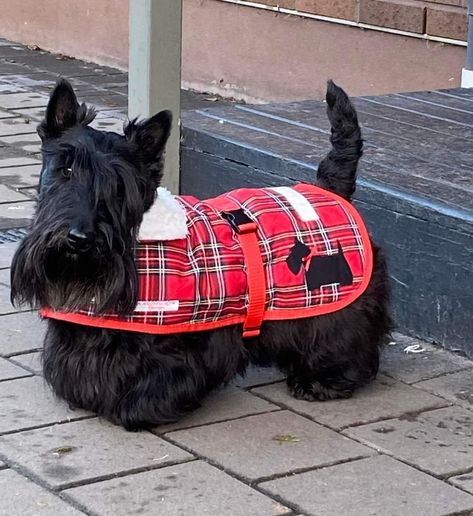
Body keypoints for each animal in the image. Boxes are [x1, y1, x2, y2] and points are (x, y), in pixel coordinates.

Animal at [11, 78, 390, 430]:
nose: (79, 239)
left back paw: (321, 380)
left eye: (120, 186)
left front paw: (134, 411)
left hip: (335, 306)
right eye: (66, 169)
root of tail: (330, 189)